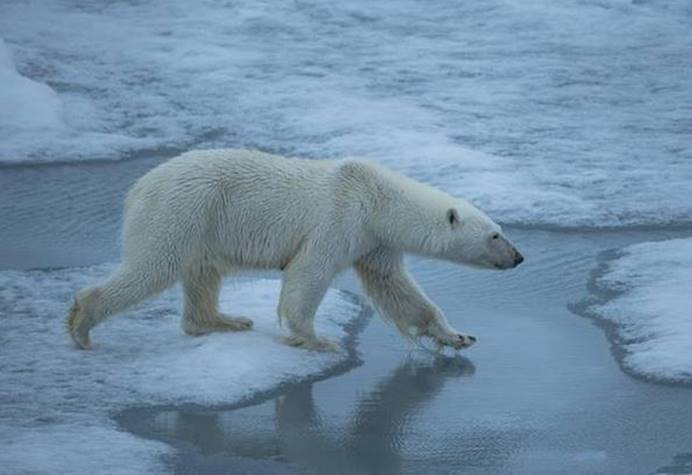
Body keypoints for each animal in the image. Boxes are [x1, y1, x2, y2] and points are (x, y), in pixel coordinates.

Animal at [66, 151, 524, 352]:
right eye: (495, 235)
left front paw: (457, 335)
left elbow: (396, 288)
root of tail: (138, 187)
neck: (376, 198)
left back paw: (223, 320)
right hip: (182, 210)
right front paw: (318, 339)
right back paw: (83, 325)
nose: (519, 257)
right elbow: (309, 274)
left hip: (204, 223)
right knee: (154, 266)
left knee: (203, 272)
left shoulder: (374, 242)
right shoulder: (340, 219)